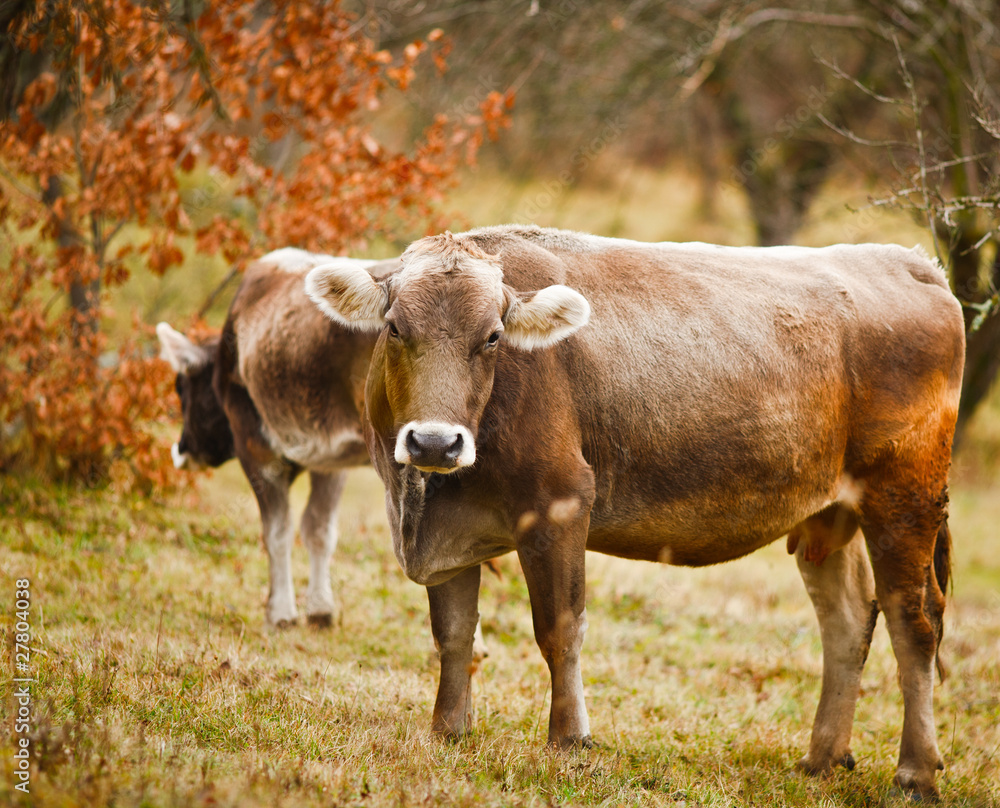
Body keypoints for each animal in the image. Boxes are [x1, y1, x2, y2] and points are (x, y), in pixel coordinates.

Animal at [304, 225, 965, 800]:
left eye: (492, 336)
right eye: (395, 327)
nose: (435, 443)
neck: (424, 499)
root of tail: (909, 262)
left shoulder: (560, 502)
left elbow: (559, 627)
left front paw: (570, 741)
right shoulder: (450, 537)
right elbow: (454, 634)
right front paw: (448, 732)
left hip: (904, 496)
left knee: (914, 621)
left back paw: (915, 772)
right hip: (829, 514)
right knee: (848, 620)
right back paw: (822, 758)